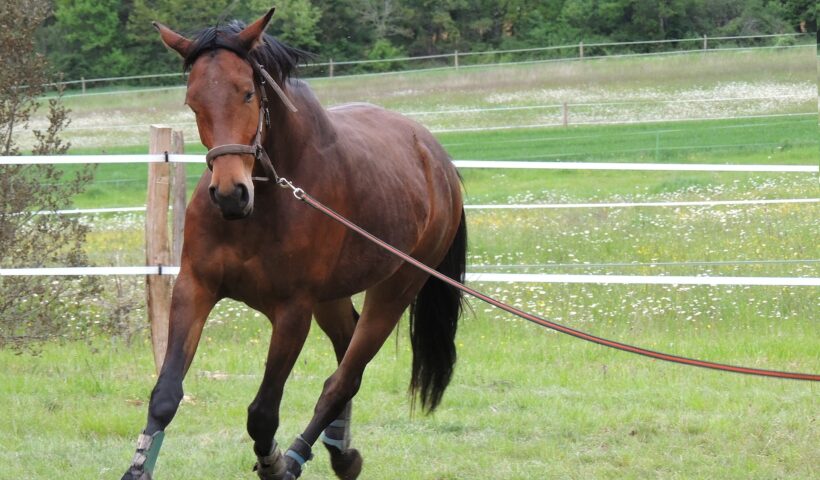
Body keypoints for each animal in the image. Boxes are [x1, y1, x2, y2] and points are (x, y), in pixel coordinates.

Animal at [121, 7, 468, 480]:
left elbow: (262, 413)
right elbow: (165, 395)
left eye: (248, 93)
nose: (230, 194)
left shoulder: (292, 312)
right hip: (332, 298)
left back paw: (307, 454)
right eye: (192, 101)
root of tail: (438, 159)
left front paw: (275, 463)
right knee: (345, 351)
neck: (265, 202)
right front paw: (137, 467)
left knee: (344, 377)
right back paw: (340, 449)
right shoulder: (195, 288)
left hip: (395, 290)